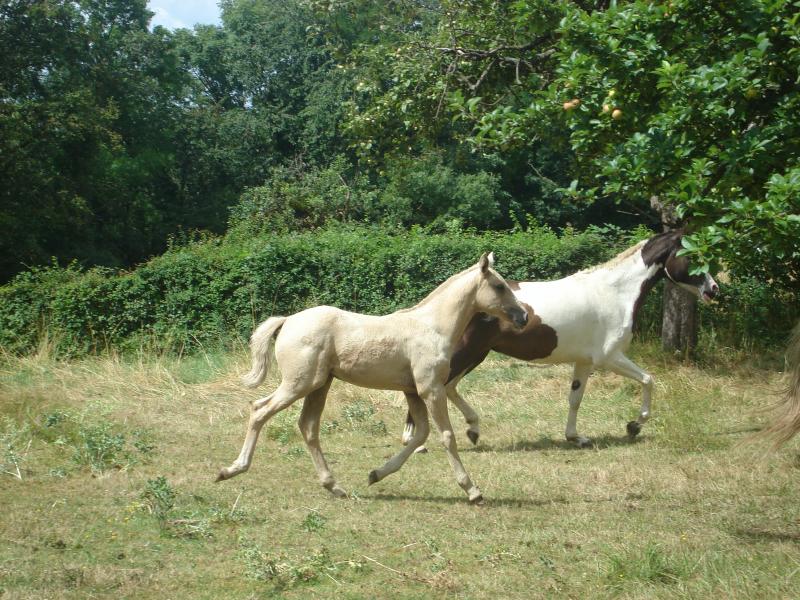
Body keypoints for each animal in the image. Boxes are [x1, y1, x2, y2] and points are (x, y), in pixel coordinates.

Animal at [216, 252, 528, 502]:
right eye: (499, 286)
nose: (523, 316)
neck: (432, 327)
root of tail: (288, 320)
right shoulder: (431, 389)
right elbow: (446, 436)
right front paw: (472, 490)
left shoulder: (412, 391)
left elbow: (420, 434)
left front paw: (376, 474)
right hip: (299, 383)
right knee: (260, 410)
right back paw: (231, 470)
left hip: (319, 385)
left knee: (308, 426)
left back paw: (334, 486)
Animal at [404, 230, 720, 450]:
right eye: (691, 256)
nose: (714, 289)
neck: (615, 293)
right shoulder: (610, 357)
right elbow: (648, 379)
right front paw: (634, 426)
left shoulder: (585, 362)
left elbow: (575, 399)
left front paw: (576, 437)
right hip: (466, 353)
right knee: (433, 388)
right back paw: (414, 441)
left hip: (476, 354)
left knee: (450, 387)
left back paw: (472, 429)